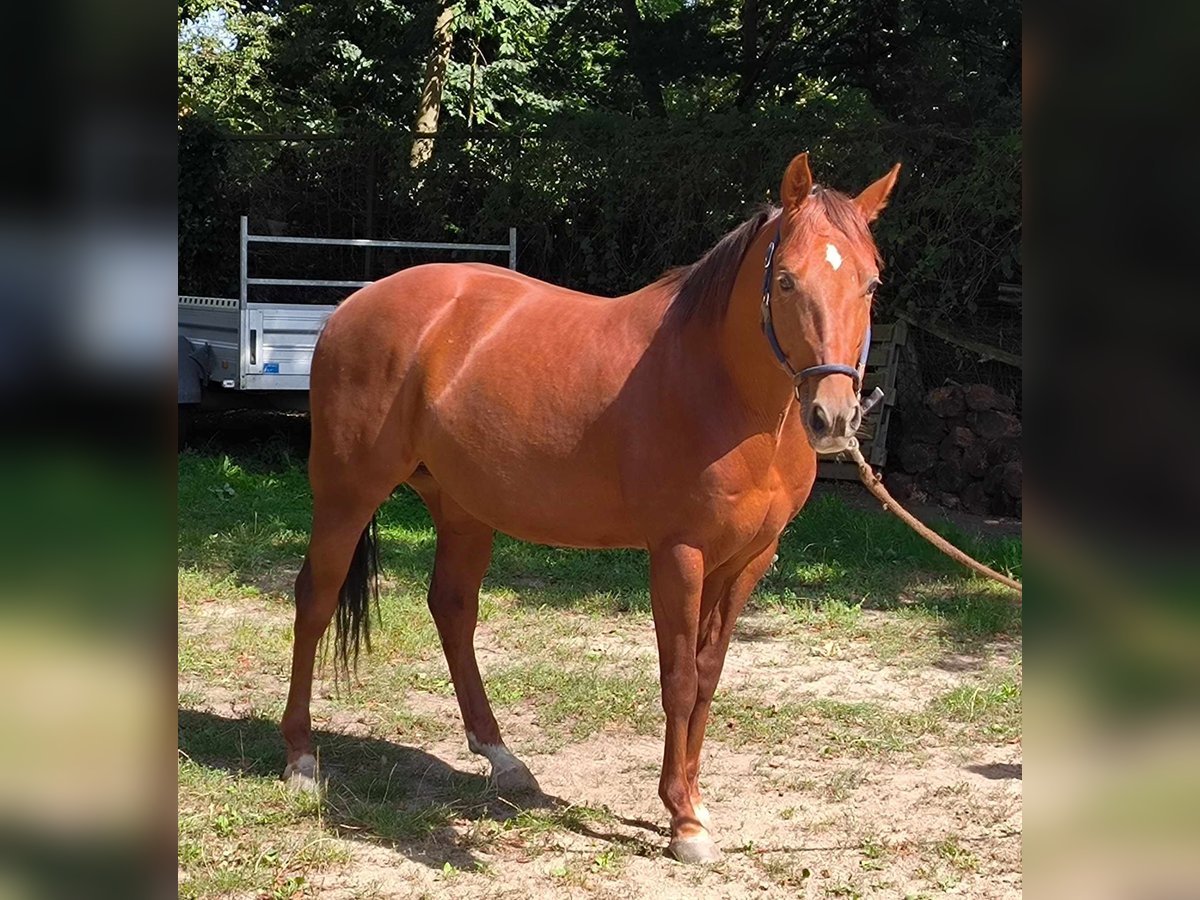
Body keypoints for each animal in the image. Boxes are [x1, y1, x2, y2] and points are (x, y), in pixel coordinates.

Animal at [283, 151, 902, 864]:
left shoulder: (748, 559)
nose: (833, 416)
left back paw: (503, 759)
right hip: (346, 495)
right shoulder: (679, 555)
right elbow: (679, 679)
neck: (723, 389)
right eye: (788, 280)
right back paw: (301, 760)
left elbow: (708, 676)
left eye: (870, 285)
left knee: (453, 610)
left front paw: (695, 803)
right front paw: (682, 820)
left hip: (462, 508)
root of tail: (352, 305)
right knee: (316, 600)